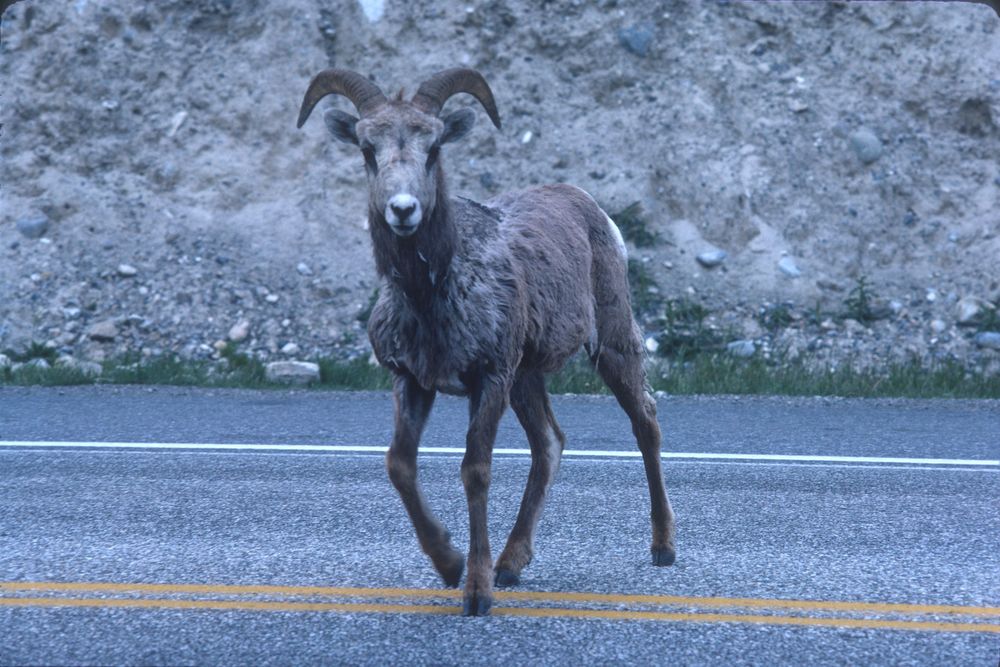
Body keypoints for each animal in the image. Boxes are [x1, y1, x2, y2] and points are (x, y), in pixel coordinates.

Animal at [292, 68, 676, 616]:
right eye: (368, 149)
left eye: (433, 148)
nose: (403, 210)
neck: (433, 299)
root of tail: (591, 205)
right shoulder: (412, 380)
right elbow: (399, 465)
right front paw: (449, 564)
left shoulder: (489, 376)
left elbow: (475, 470)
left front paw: (475, 592)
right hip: (528, 377)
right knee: (549, 444)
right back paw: (512, 563)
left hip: (610, 340)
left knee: (644, 421)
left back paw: (662, 547)